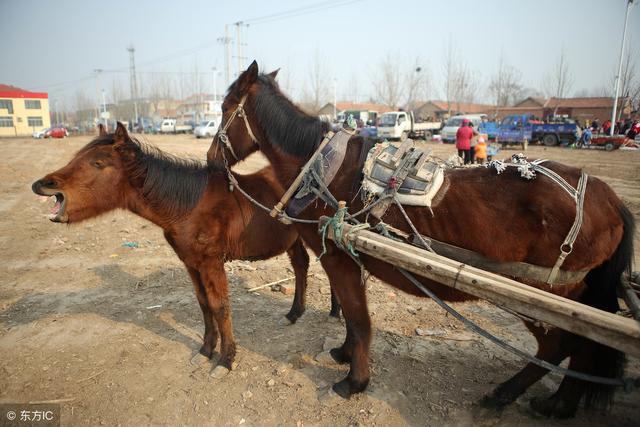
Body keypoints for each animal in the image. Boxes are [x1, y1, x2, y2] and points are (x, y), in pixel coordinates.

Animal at [31, 123, 340, 378]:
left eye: (98, 163)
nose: (41, 184)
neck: (188, 207)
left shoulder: (211, 263)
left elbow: (220, 306)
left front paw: (226, 360)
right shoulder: (191, 263)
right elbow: (204, 305)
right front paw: (206, 351)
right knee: (302, 266)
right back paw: (297, 313)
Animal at [206, 61, 636, 420]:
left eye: (225, 107)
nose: (211, 159)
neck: (322, 167)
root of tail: (611, 199)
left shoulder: (340, 259)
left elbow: (359, 320)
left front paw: (354, 381)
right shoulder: (350, 258)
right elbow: (352, 319)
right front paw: (344, 354)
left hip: (545, 298)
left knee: (562, 348)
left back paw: (518, 397)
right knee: (581, 350)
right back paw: (557, 403)